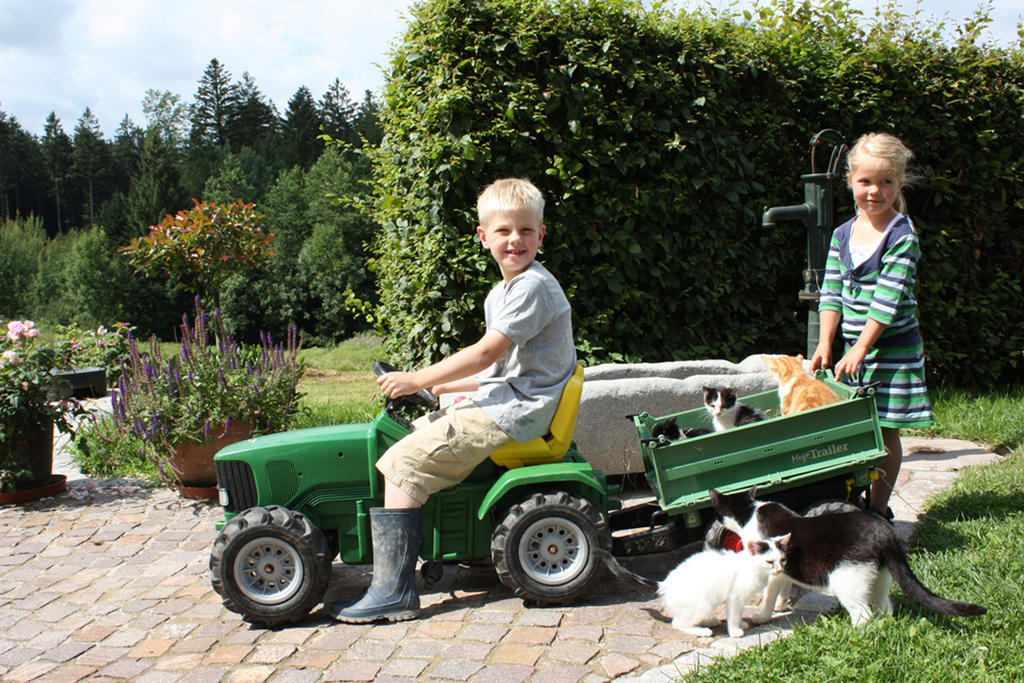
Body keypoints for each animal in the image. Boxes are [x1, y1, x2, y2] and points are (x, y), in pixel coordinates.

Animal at [655, 532, 790, 643]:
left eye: (783, 560)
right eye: (769, 562)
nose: (779, 570)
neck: (752, 568)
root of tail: (666, 585)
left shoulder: (737, 599)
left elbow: (738, 613)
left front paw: (740, 624)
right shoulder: (735, 597)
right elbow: (734, 615)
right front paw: (735, 631)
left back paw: (710, 621)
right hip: (702, 604)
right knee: (678, 623)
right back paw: (702, 630)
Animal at [708, 489, 987, 626]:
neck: (750, 513)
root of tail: (885, 531)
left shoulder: (773, 567)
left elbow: (768, 595)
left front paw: (764, 615)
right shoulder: (783, 570)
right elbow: (784, 587)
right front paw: (781, 605)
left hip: (845, 577)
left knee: (864, 614)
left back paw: (854, 636)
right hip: (880, 577)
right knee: (885, 609)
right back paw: (883, 630)